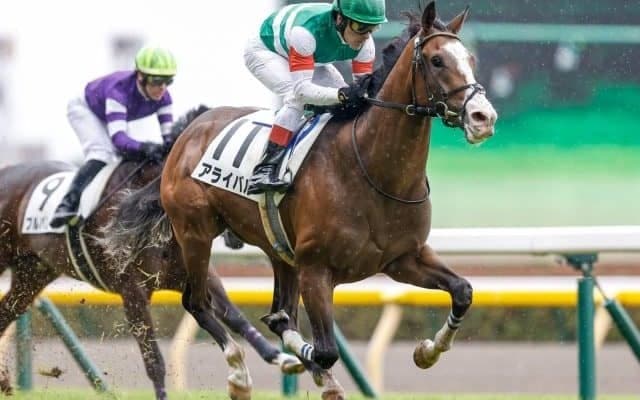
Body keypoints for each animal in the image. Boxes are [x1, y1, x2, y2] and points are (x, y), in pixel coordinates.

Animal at [0, 106, 303, 400]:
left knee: (6, 312)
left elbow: (235, 316)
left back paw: (4, 382)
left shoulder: (197, 273)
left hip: (33, 274)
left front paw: (278, 357)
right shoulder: (132, 292)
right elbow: (154, 361)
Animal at [104, 2, 497, 398]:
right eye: (436, 60)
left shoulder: (403, 258)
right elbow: (323, 349)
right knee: (197, 302)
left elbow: (463, 290)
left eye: (471, 59)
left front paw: (427, 350)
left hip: (278, 250)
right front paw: (313, 370)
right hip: (195, 233)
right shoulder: (316, 269)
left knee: (273, 310)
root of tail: (189, 133)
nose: (483, 117)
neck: (372, 170)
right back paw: (239, 375)